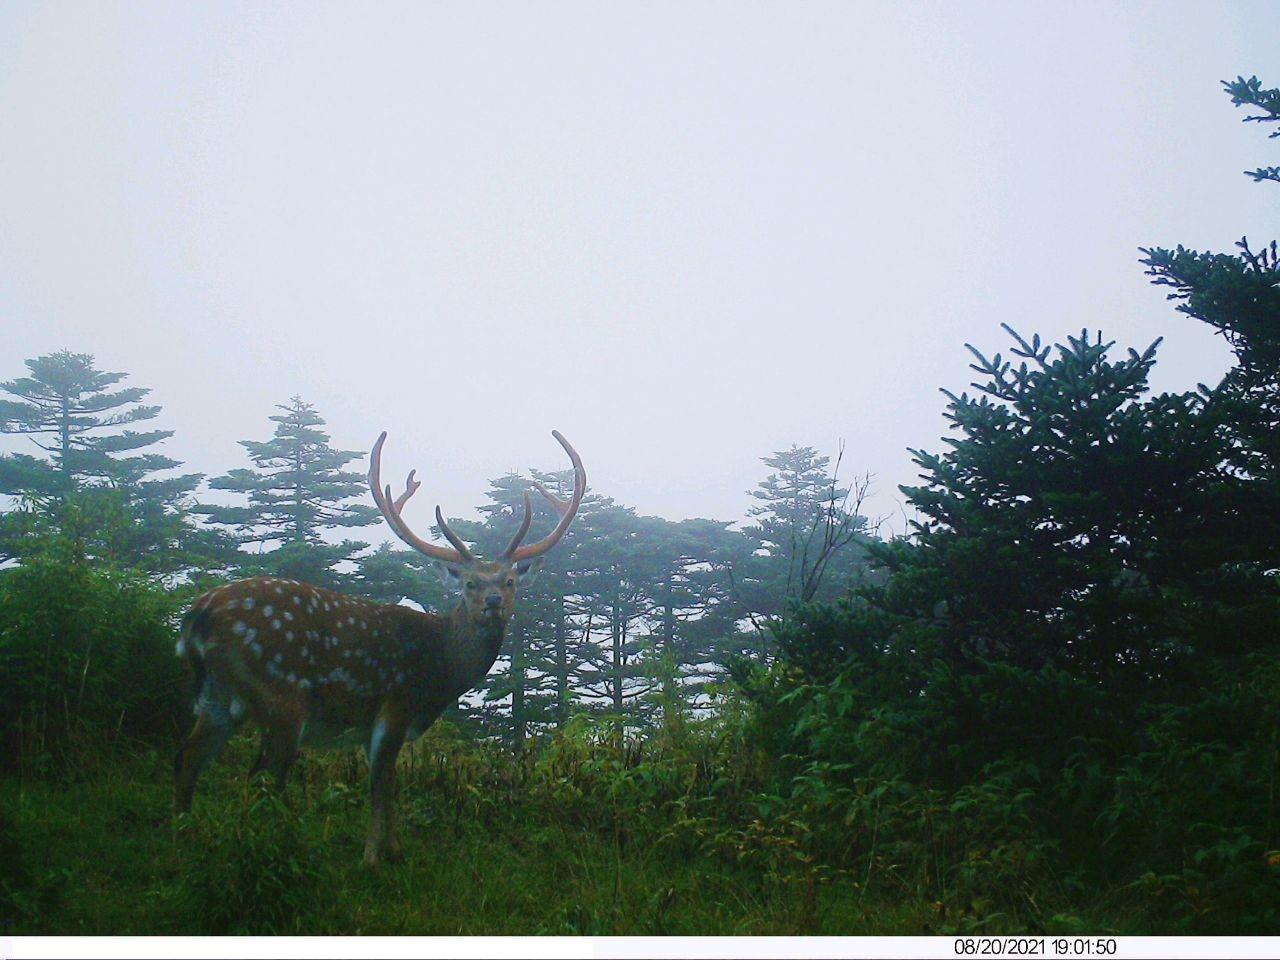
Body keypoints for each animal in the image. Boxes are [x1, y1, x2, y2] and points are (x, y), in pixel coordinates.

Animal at [174, 427, 586, 865]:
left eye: (509, 581)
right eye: (470, 583)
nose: (493, 601)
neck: (440, 669)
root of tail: (199, 614)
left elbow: (390, 785)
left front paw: (395, 850)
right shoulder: (394, 704)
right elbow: (380, 785)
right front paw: (373, 856)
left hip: (218, 697)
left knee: (188, 758)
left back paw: (182, 836)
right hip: (281, 695)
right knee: (261, 776)